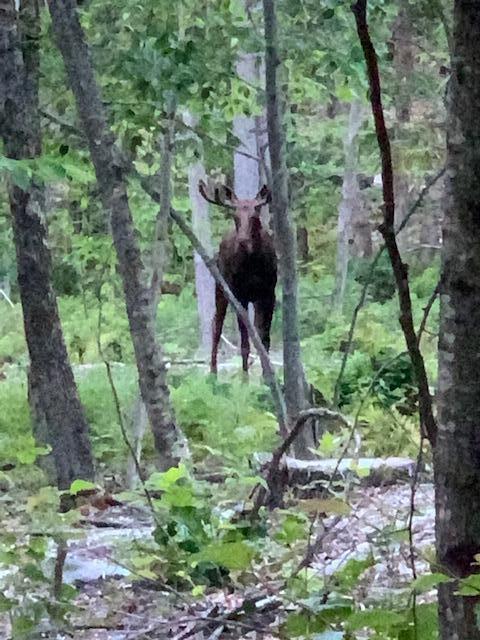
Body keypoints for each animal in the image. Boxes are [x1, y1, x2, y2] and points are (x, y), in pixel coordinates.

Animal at [198, 180, 277, 377]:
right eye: (235, 216)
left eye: (254, 216)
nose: (242, 240)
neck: (254, 265)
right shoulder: (239, 295)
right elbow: (245, 343)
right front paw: (245, 378)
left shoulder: (269, 293)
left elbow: (264, 338)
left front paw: (267, 374)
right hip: (221, 288)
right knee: (216, 326)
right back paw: (213, 372)